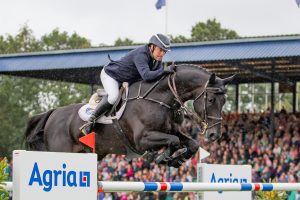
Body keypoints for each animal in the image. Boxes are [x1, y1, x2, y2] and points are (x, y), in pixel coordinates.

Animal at [24, 64, 234, 167]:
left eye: (224, 101)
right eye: (211, 100)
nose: (214, 135)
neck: (160, 98)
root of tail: (53, 113)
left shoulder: (173, 131)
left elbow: (191, 144)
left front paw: (176, 161)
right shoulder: (142, 139)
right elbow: (173, 141)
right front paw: (160, 157)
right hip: (61, 150)